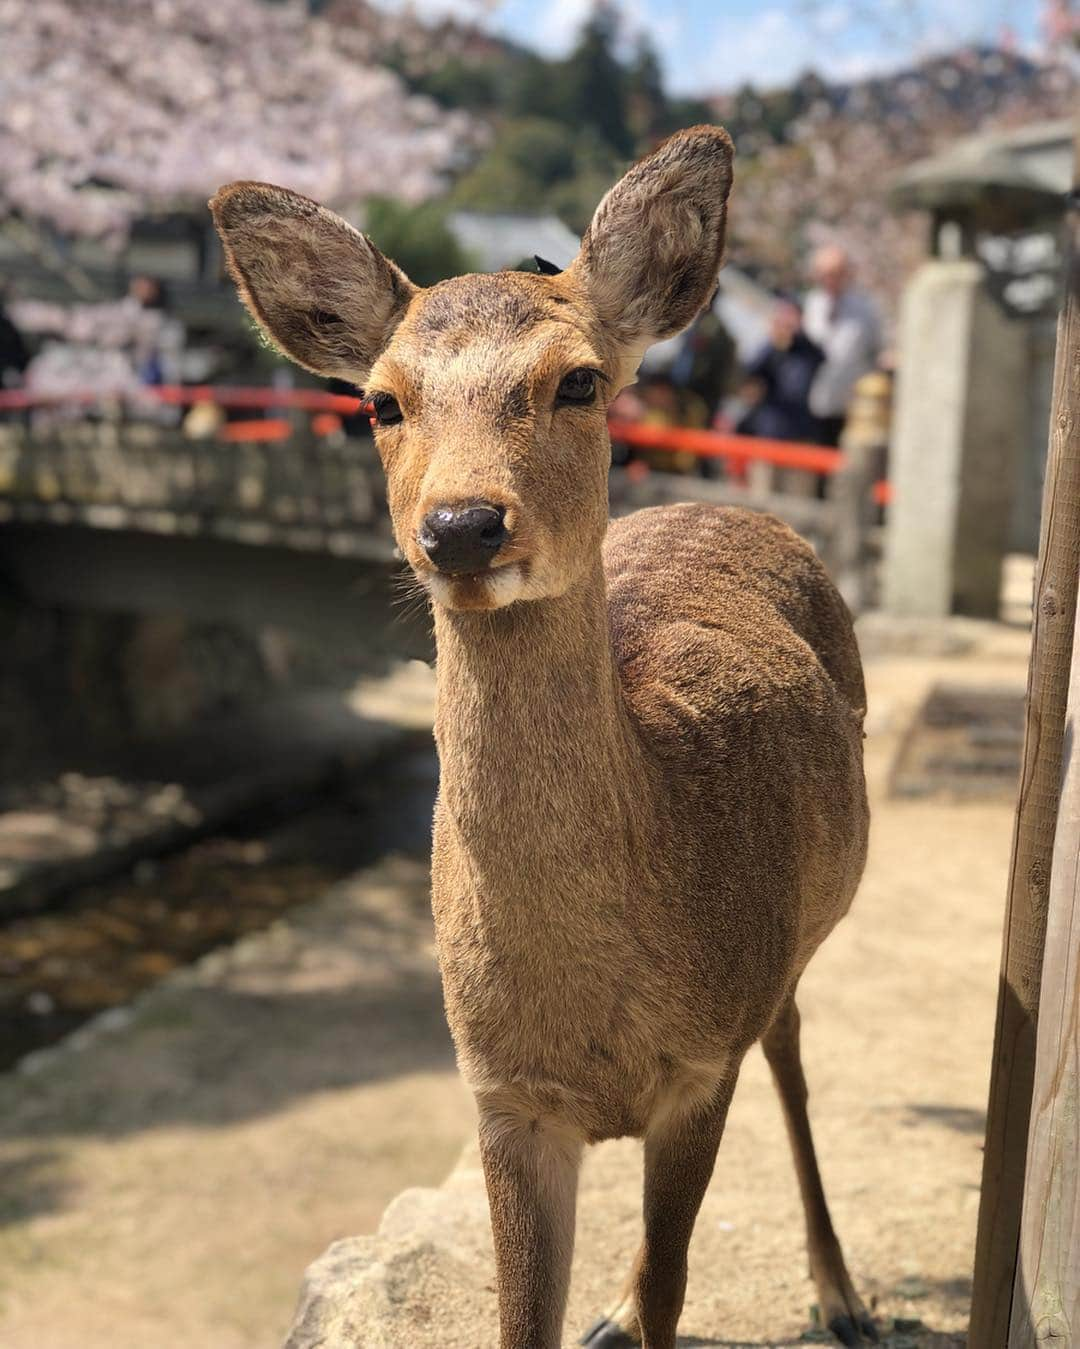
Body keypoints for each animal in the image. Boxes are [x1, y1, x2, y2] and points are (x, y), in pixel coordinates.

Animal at [210, 126, 873, 1349]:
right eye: (380, 404)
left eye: (578, 380)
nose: (464, 524)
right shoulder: (501, 1094)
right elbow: (532, 1313)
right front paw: (590, 1306)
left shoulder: (704, 1057)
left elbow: (673, 1284)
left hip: (793, 947)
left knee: (796, 1064)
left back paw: (843, 1293)